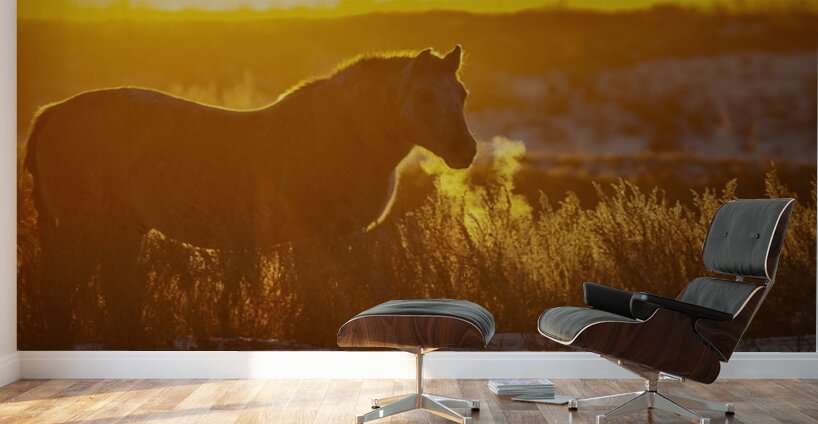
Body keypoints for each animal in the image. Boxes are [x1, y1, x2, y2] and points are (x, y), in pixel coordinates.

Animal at [24, 46, 477, 348]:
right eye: (424, 96)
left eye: (462, 94)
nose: (465, 150)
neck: (342, 134)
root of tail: (54, 112)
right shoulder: (313, 237)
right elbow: (315, 293)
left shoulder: (335, 239)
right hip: (82, 231)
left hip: (121, 232)